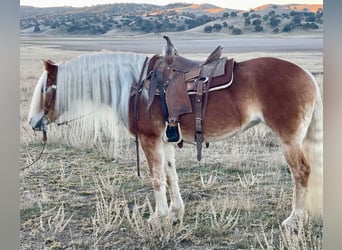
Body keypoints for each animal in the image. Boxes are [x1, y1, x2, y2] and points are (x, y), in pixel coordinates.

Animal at [28, 46, 322, 227]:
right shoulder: (165, 139)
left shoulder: (149, 139)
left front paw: (157, 217)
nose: (32, 122)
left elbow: (156, 178)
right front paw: (175, 213)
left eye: (45, 89)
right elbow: (171, 175)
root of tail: (308, 77)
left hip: (289, 140)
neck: (136, 86)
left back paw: (295, 219)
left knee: (302, 173)